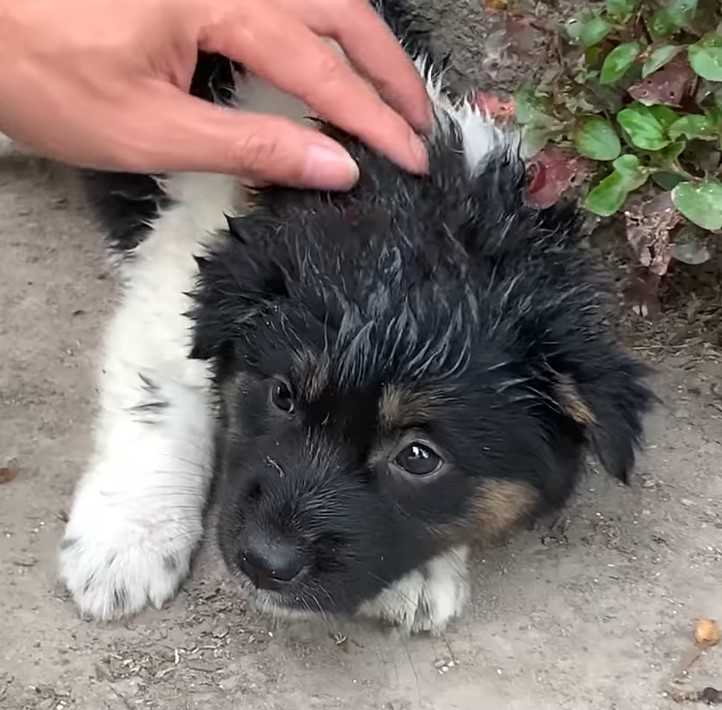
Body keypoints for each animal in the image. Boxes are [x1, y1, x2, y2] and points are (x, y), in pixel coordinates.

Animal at [59, 0, 648, 636]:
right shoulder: (174, 286)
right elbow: (157, 400)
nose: (264, 563)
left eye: (419, 456)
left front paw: (420, 574)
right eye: (282, 396)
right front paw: (126, 542)